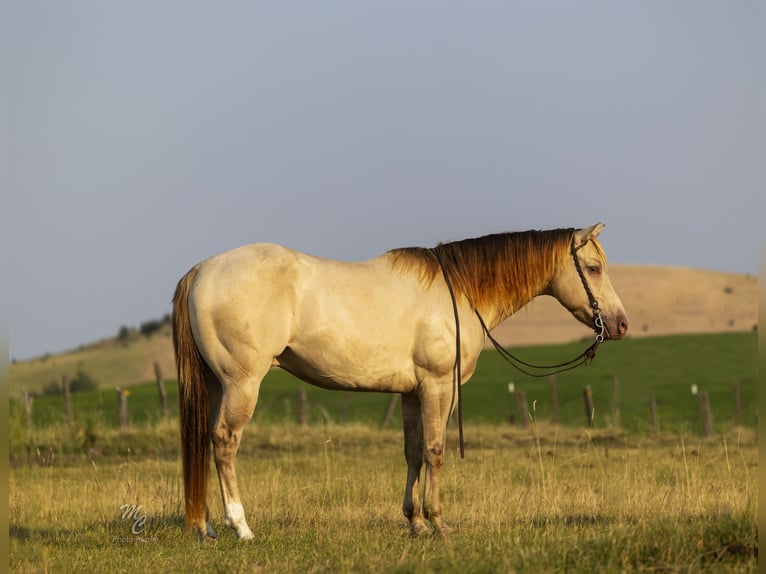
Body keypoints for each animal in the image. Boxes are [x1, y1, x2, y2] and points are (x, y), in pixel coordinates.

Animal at [172, 223, 632, 544]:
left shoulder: (411, 394)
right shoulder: (438, 387)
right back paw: (241, 527)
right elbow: (435, 451)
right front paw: (440, 524)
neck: (460, 291)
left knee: (204, 441)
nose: (620, 324)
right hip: (242, 384)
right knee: (224, 441)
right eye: (593, 268)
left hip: (216, 385)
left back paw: (206, 529)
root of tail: (202, 270)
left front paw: (415, 523)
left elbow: (412, 453)